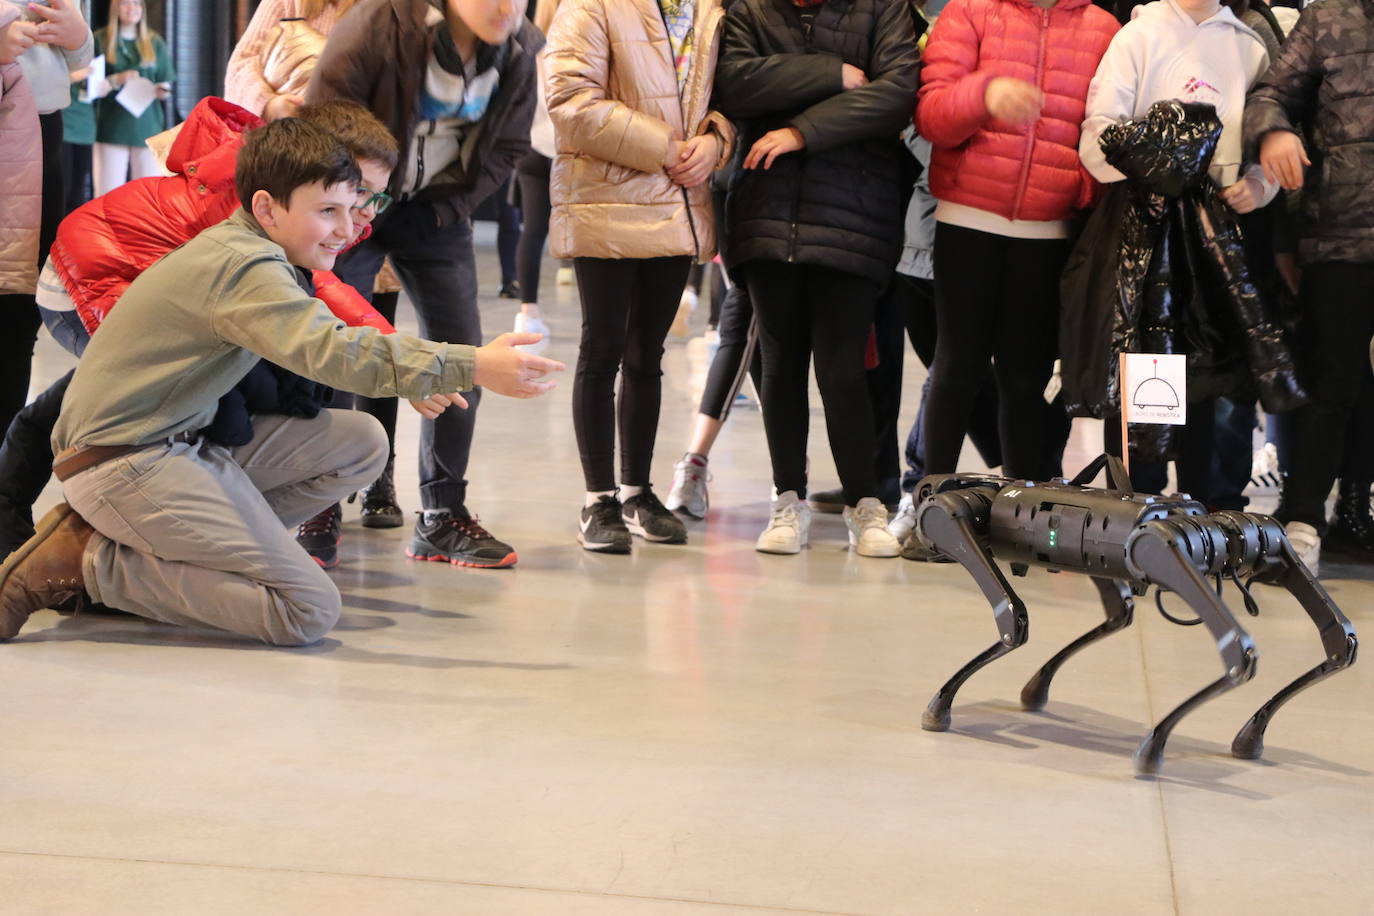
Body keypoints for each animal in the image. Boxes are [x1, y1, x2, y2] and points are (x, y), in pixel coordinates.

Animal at [912, 455, 1352, 780]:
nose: (922, 495)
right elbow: (1113, 614)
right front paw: (1032, 689)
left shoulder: (1154, 545)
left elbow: (1011, 620)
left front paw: (939, 706)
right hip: (1264, 538)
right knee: (1339, 642)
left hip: (1198, 543)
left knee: (1242, 652)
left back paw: (1159, 745)